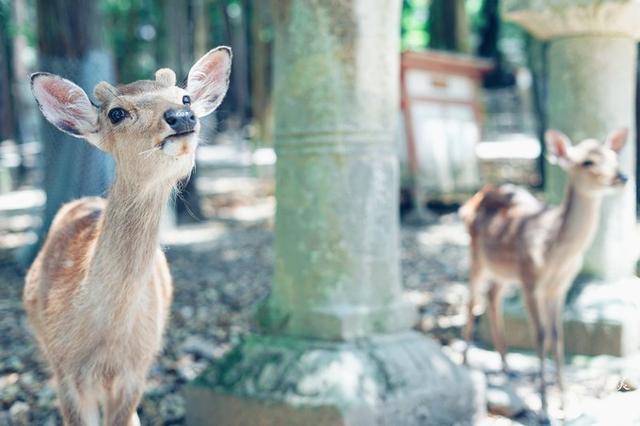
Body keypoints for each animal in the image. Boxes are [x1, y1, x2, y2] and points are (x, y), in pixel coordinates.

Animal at [460, 128, 632, 414]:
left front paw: (564, 403)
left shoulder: (558, 287)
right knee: (472, 298)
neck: (555, 255)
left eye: (614, 157)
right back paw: (463, 362)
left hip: (506, 272)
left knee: (492, 296)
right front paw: (543, 409)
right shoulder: (531, 281)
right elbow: (540, 336)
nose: (622, 176)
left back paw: (506, 366)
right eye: (587, 161)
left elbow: (558, 336)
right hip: (476, 255)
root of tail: (474, 197)